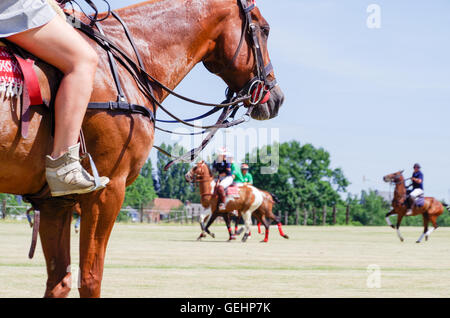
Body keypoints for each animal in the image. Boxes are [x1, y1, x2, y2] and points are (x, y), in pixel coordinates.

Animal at [0, 0, 284, 298]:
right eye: (264, 29)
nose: (276, 98)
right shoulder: (106, 191)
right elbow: (89, 278)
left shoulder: (55, 202)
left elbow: (59, 281)